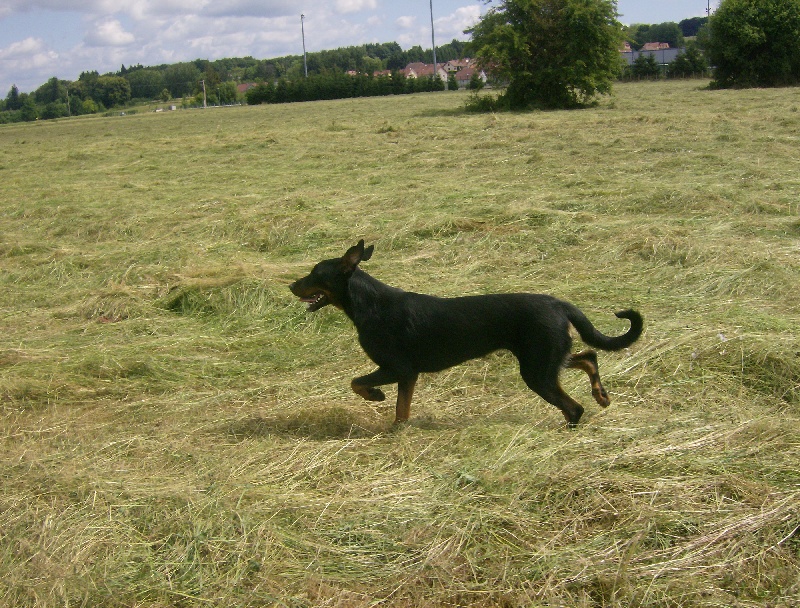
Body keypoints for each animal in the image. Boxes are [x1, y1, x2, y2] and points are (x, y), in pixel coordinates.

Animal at [290, 240, 640, 426]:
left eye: (314, 273)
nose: (291, 285)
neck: (370, 304)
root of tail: (559, 303)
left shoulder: (397, 368)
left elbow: (357, 383)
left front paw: (376, 395)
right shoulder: (408, 375)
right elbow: (402, 411)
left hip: (536, 370)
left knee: (573, 406)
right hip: (546, 358)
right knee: (588, 356)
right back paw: (601, 395)